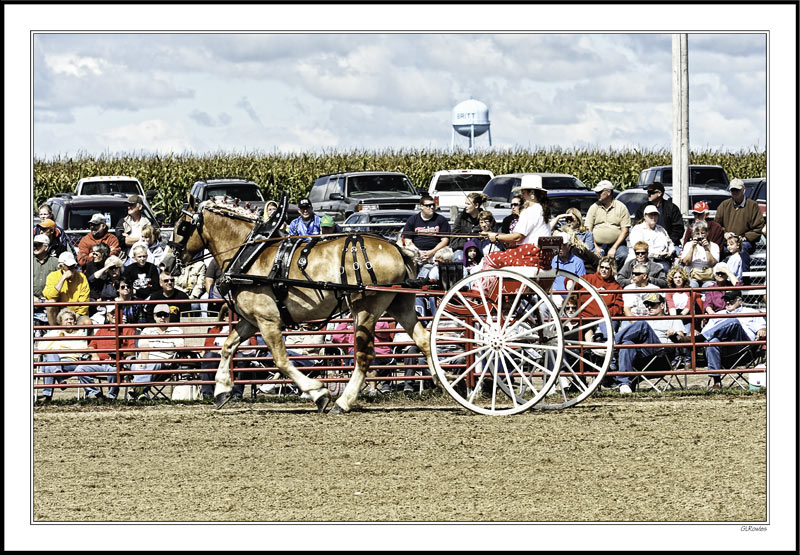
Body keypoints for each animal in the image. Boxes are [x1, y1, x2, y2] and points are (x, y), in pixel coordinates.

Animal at [160, 199, 440, 412]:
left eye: (182, 226)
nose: (164, 264)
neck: (251, 254)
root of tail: (397, 248)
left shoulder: (269, 321)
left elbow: (281, 360)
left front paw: (318, 393)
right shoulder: (251, 321)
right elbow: (228, 346)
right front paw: (221, 389)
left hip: (366, 310)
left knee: (364, 356)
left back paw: (343, 402)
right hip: (400, 305)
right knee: (424, 340)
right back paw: (440, 378)